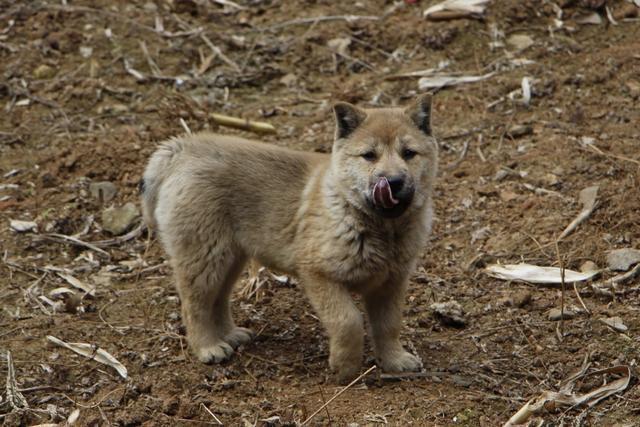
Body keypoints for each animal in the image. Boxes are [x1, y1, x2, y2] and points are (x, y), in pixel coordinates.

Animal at [142, 95, 438, 382]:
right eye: (369, 156)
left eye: (409, 153)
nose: (394, 181)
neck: (378, 226)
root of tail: (182, 148)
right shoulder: (319, 275)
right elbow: (348, 321)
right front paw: (345, 368)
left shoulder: (391, 283)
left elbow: (389, 325)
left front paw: (394, 360)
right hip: (205, 257)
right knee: (195, 305)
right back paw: (208, 347)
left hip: (229, 258)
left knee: (218, 299)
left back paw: (230, 335)